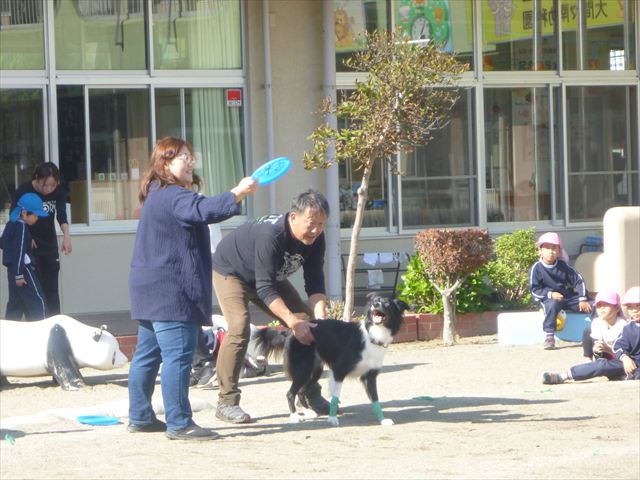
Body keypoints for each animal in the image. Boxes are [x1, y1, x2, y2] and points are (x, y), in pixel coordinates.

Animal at [254, 295, 408, 426]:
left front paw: (382, 420)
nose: (375, 304)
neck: (372, 335)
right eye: (375, 301)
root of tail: (290, 331)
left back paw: (308, 411)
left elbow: (375, 399)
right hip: (303, 369)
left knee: (301, 392)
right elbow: (335, 397)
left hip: (314, 371)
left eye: (387, 303)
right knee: (290, 393)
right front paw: (332, 418)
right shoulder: (339, 372)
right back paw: (294, 416)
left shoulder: (369, 376)